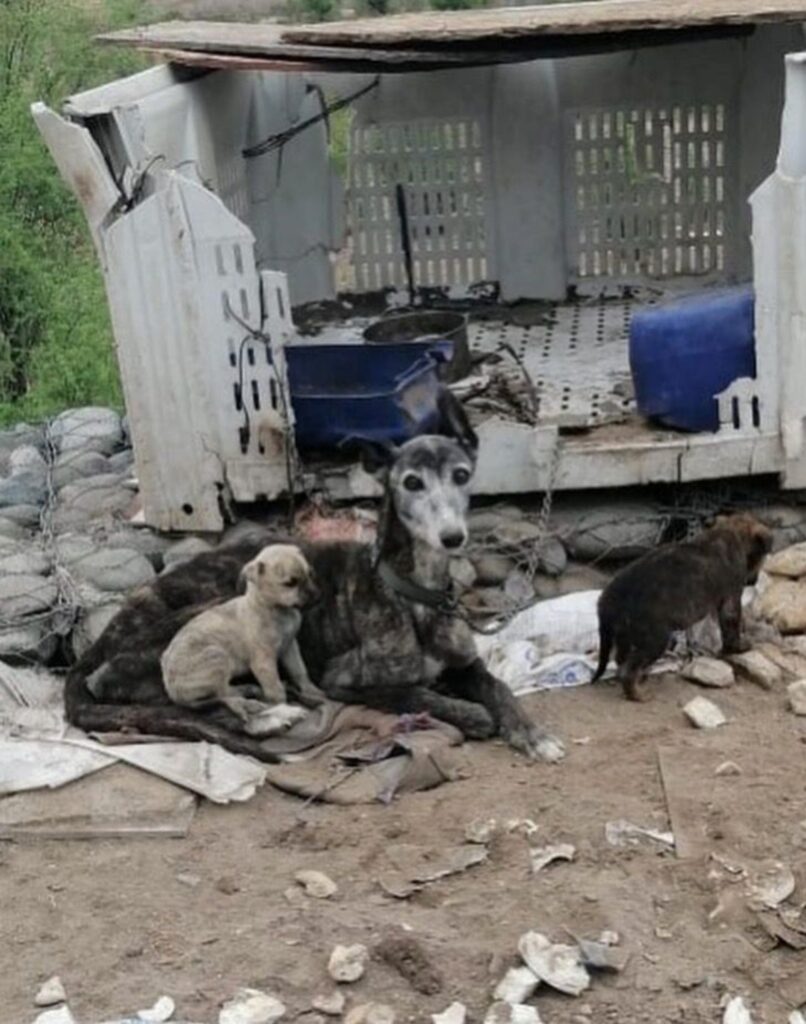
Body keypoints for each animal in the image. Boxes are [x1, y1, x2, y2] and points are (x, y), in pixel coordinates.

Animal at [158, 544, 323, 737]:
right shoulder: (263, 663)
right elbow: (276, 690)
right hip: (217, 656)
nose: (317, 596)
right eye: (290, 583)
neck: (272, 609)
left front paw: (311, 690)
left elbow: (300, 671)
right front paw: (284, 706)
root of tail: (172, 690)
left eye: (310, 574)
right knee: (225, 694)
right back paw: (248, 697)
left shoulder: (290, 647)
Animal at [594, 512, 774, 704]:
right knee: (628, 669)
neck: (729, 532)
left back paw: (639, 679)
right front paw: (738, 647)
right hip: (654, 638)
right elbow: (731, 625)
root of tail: (609, 599)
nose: (753, 581)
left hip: (624, 635)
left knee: (621, 660)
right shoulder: (731, 597)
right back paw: (638, 694)